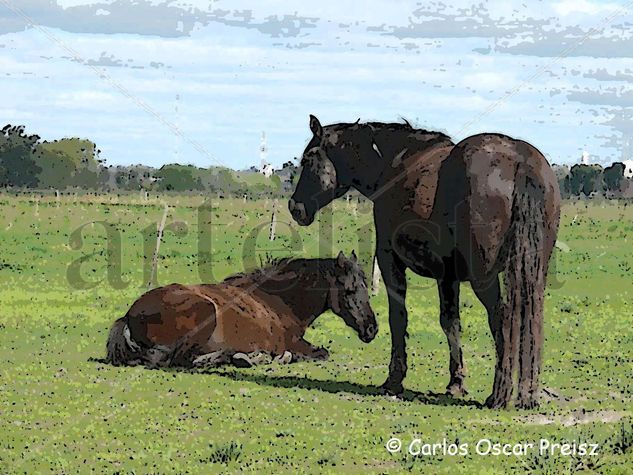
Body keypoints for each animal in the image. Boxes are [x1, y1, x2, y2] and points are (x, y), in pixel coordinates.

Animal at [106, 251, 378, 370]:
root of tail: (129, 315)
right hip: (205, 312)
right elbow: (320, 353)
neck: (277, 302)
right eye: (351, 289)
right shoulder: (294, 342)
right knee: (181, 359)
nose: (372, 329)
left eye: (366, 286)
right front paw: (280, 357)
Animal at [286, 116, 556, 410]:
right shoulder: (447, 276)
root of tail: (520, 161)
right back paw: (528, 394)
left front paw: (394, 379)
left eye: (308, 158)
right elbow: (450, 323)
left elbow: (398, 317)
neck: (392, 163)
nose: (294, 207)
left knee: (503, 318)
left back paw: (500, 394)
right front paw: (456, 382)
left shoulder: (390, 260)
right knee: (533, 318)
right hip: (533, 272)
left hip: (484, 277)